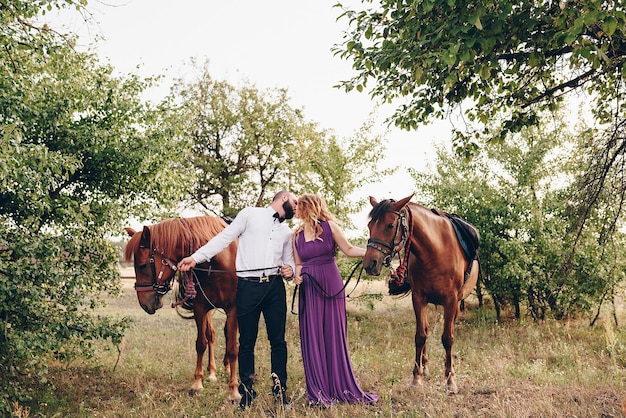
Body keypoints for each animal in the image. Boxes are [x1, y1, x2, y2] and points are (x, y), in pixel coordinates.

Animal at [123, 216, 240, 402]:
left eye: (142, 265)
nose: (144, 303)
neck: (218, 262)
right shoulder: (201, 307)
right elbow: (201, 343)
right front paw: (197, 384)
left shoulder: (234, 310)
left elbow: (232, 348)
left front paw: (234, 391)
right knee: (212, 335)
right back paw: (213, 372)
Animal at [360, 194, 478, 394]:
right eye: (369, 225)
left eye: (390, 225)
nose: (370, 264)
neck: (436, 252)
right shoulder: (418, 298)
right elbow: (420, 336)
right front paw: (416, 377)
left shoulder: (451, 300)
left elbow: (448, 338)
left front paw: (450, 379)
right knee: (426, 330)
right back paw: (425, 366)